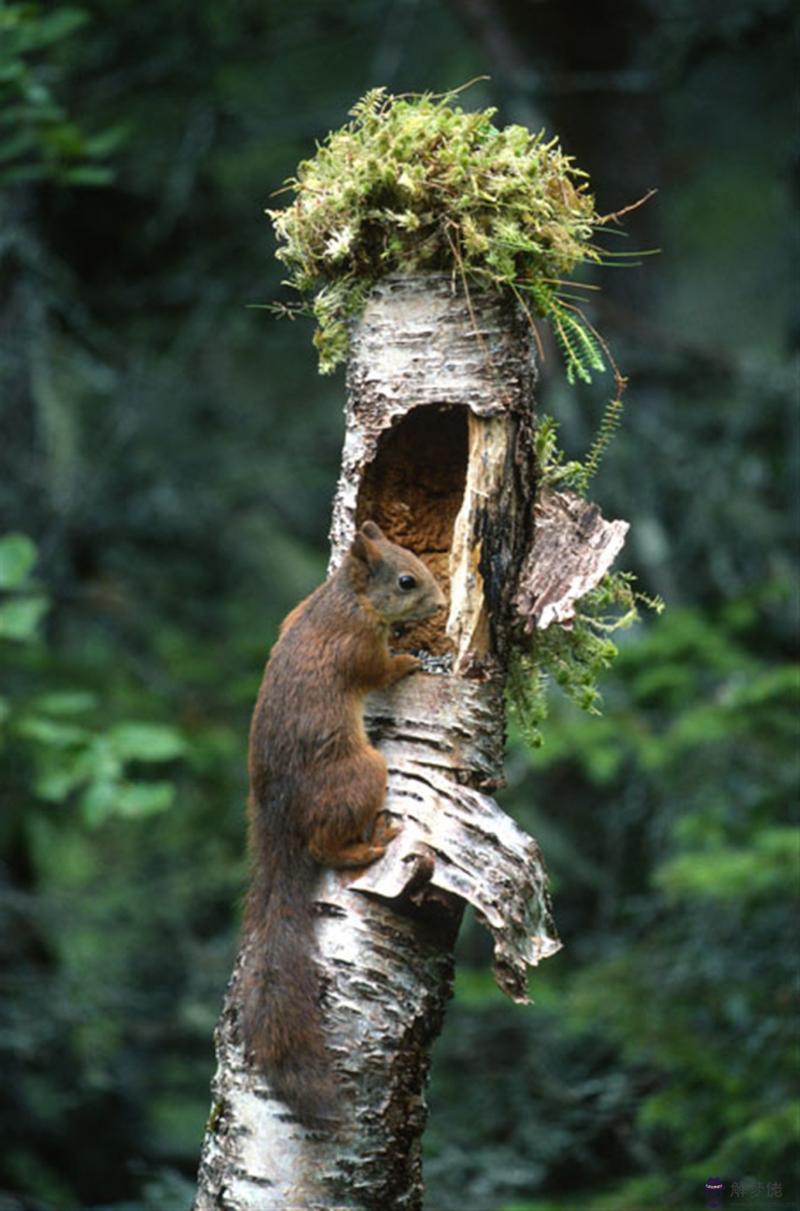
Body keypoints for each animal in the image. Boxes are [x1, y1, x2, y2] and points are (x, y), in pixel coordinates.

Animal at [240, 518, 445, 1123]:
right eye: (406, 581)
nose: (442, 603)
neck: (343, 601)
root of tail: (277, 821)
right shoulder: (357, 649)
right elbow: (381, 670)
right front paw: (410, 660)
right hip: (361, 773)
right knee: (324, 847)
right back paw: (370, 844)